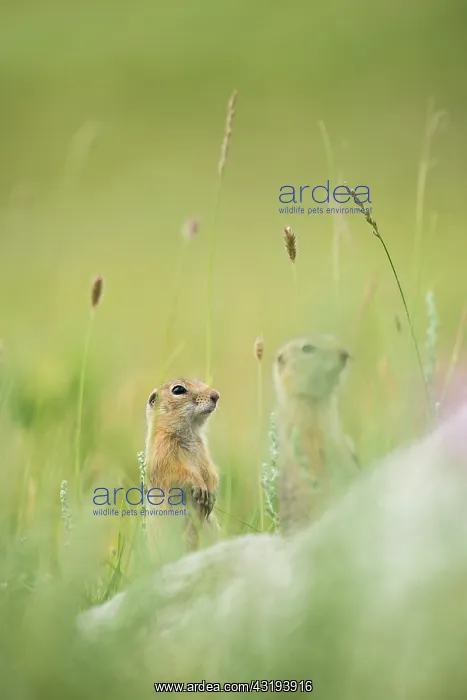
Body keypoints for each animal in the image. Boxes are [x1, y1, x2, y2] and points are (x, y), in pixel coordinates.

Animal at [145, 378, 220, 551]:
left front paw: (211, 493)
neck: (190, 432)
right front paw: (201, 488)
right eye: (178, 390)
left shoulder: (203, 452)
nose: (216, 395)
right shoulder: (163, 451)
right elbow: (177, 473)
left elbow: (210, 471)